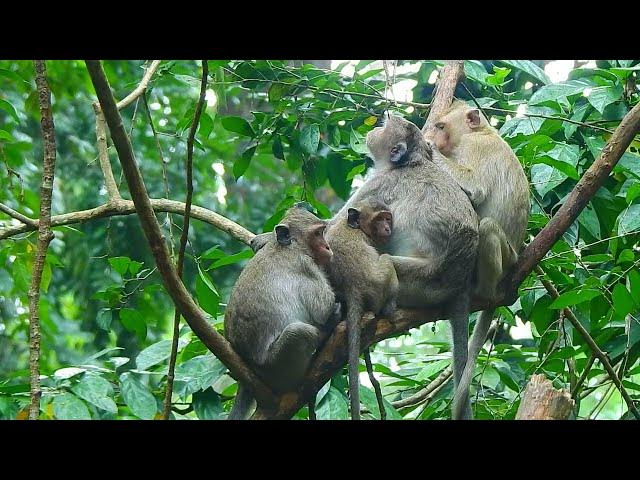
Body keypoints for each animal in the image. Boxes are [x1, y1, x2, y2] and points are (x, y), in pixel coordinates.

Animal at [224, 204, 337, 420]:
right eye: (317, 233)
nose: (328, 247)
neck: (291, 246)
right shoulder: (306, 266)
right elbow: (324, 310)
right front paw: (332, 314)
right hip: (275, 367)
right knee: (300, 332)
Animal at [324, 199, 399, 420]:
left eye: (387, 218)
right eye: (379, 219)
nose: (387, 228)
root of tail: (353, 288)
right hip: (379, 286)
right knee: (386, 260)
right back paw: (390, 307)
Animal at [337, 113, 479, 420]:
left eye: (387, 124)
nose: (375, 127)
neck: (409, 162)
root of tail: (461, 281)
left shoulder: (381, 182)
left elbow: (335, 223)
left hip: (421, 283)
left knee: (388, 264)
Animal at [424, 100, 530, 420]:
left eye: (441, 127)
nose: (435, 137)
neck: (481, 132)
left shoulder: (475, 148)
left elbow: (475, 188)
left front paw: (427, 147)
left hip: (507, 259)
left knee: (488, 229)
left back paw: (483, 290)